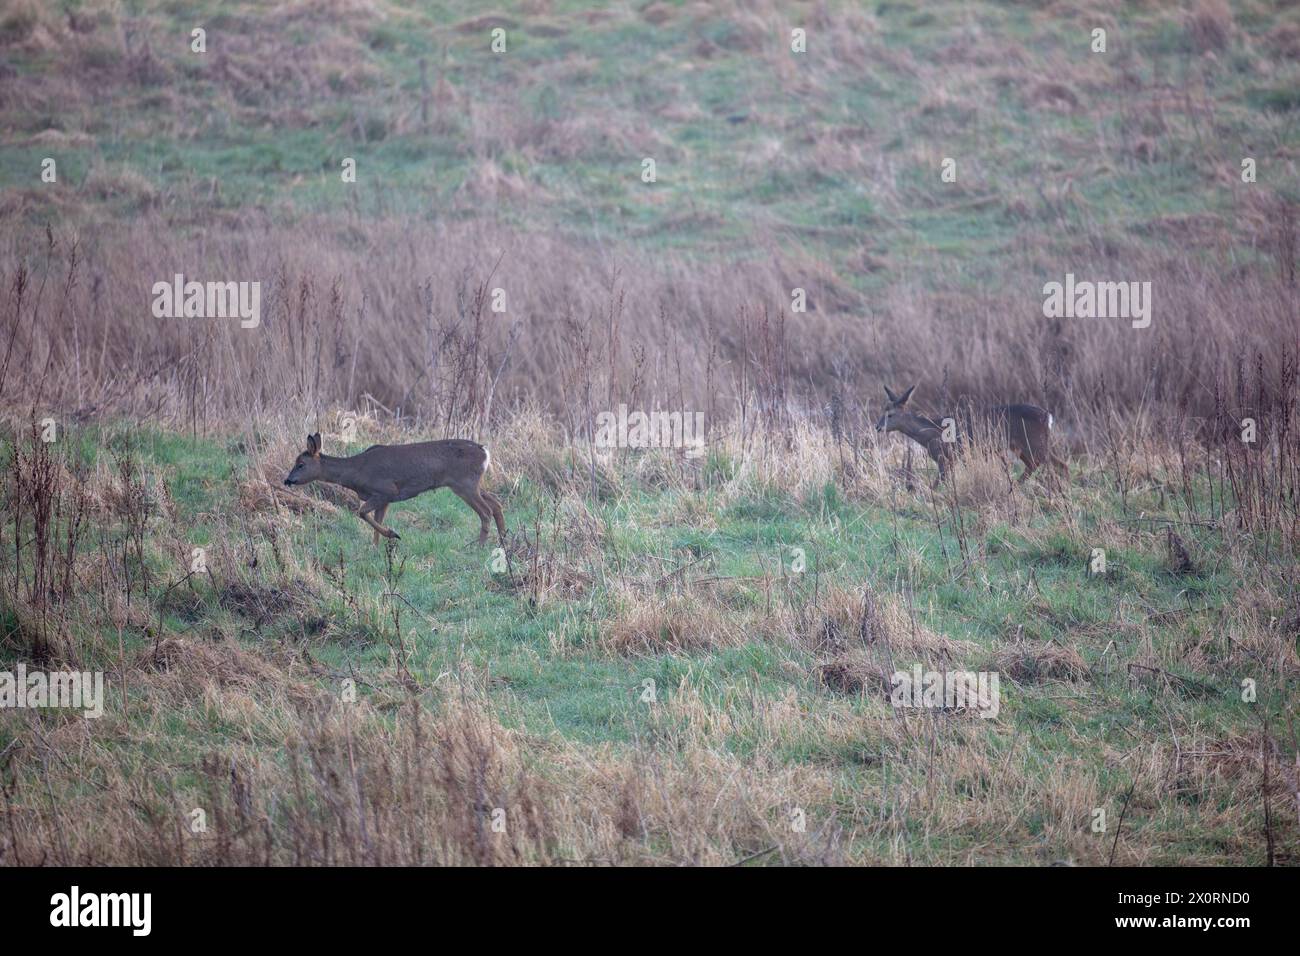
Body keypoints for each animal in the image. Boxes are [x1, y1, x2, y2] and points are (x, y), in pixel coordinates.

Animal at [283, 433, 507, 546]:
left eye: (300, 464)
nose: (287, 480)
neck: (356, 472)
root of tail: (484, 451)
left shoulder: (386, 490)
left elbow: (362, 512)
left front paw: (393, 534)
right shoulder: (385, 498)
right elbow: (375, 520)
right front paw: (376, 547)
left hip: (464, 483)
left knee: (486, 511)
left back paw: (479, 547)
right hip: (472, 483)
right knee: (496, 504)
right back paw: (503, 541)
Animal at [874, 385, 1068, 489]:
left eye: (890, 414)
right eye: (883, 410)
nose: (878, 427)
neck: (930, 433)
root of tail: (1048, 417)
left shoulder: (948, 455)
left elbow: (939, 481)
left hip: (1035, 442)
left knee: (1058, 463)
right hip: (1021, 446)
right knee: (1036, 464)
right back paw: (1015, 486)